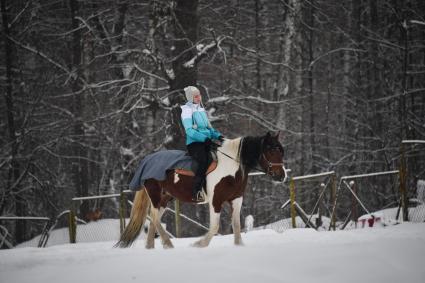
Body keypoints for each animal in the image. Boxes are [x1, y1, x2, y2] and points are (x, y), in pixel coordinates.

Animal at [116, 132, 286, 250]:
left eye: (281, 151)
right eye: (271, 150)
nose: (282, 175)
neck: (230, 167)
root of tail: (147, 160)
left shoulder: (236, 200)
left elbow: (236, 225)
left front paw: (239, 246)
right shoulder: (215, 201)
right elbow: (215, 227)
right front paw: (198, 244)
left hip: (165, 198)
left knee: (154, 220)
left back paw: (152, 246)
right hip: (155, 195)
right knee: (154, 218)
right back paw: (168, 243)